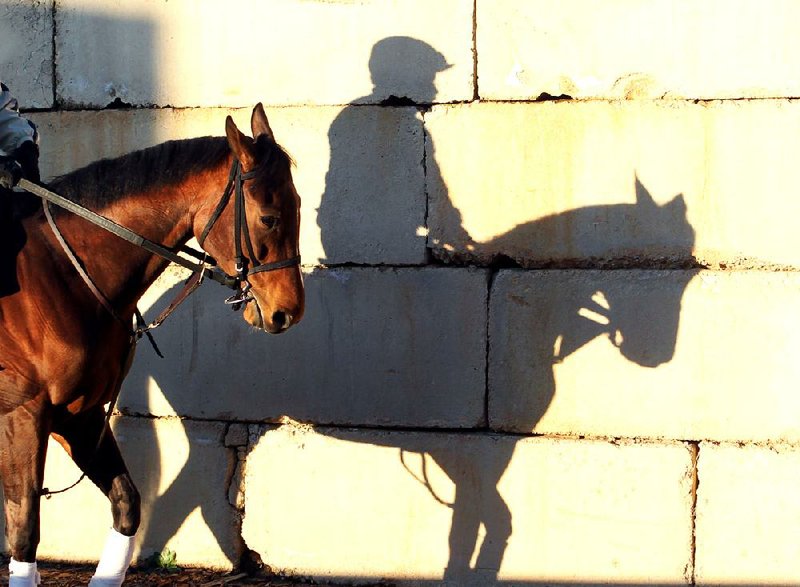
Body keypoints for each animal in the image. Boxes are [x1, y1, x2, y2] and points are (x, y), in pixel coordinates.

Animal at [0, 105, 304, 587]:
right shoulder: (22, 418)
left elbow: (127, 505)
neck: (62, 275)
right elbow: (25, 532)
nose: (287, 311)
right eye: (269, 217)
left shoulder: (81, 415)